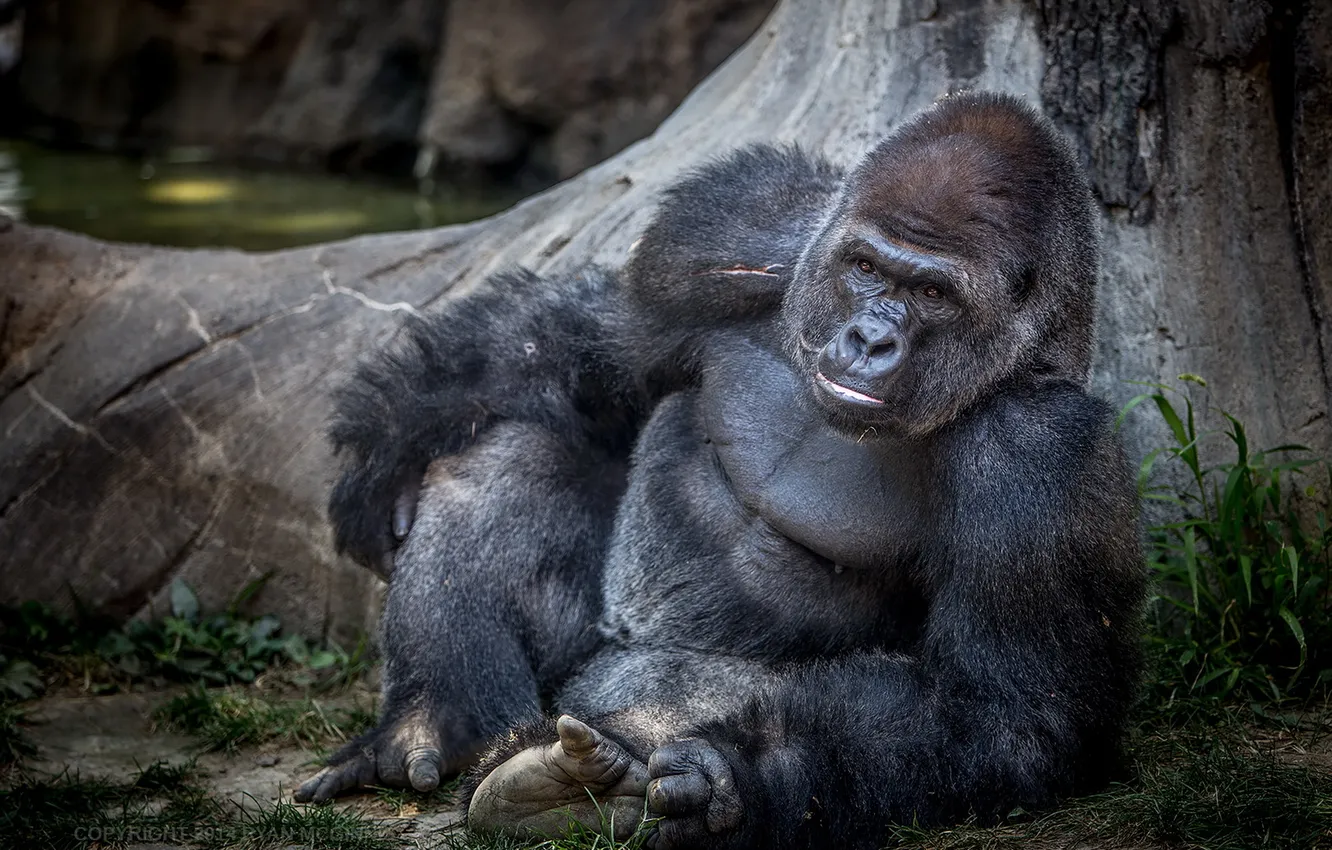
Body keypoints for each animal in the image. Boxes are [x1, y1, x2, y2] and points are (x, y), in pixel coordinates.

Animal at [298, 92, 1144, 850]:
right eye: (866, 268)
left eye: (934, 292)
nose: (869, 338)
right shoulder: (738, 229)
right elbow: (604, 350)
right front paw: (398, 431)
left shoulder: (1040, 461)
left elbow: (1003, 721)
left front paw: (732, 779)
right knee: (515, 454)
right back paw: (438, 716)